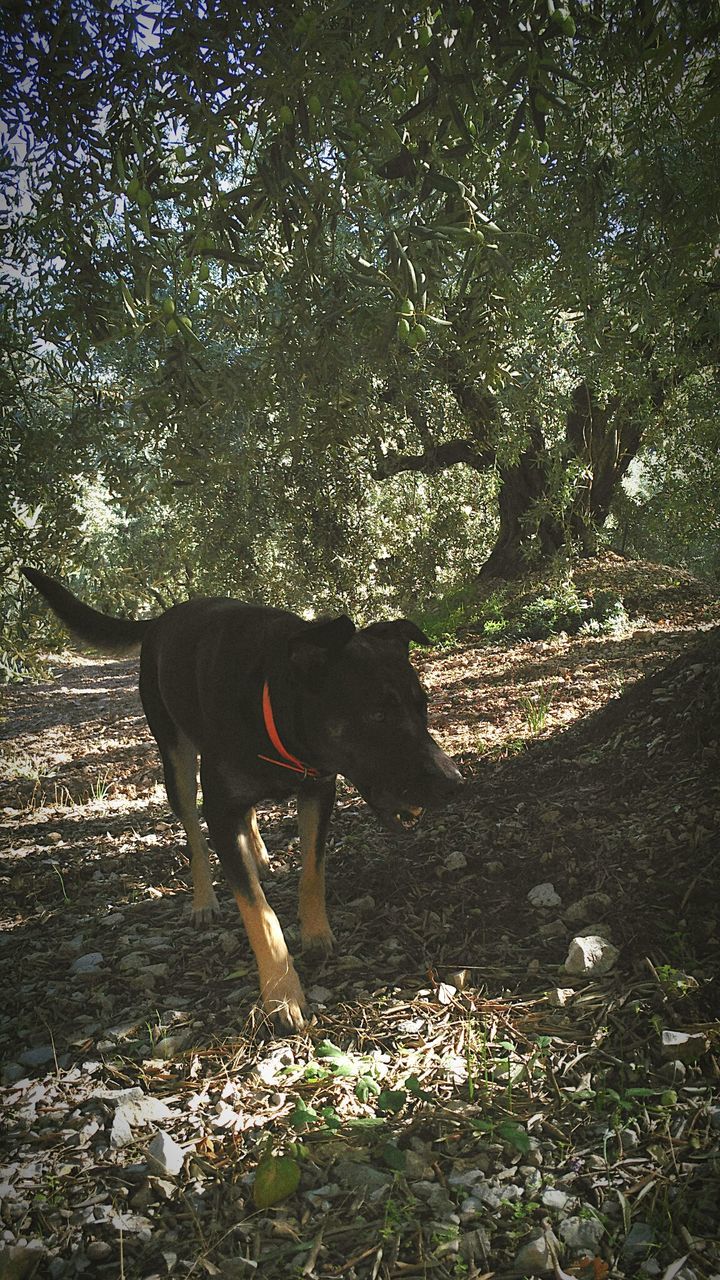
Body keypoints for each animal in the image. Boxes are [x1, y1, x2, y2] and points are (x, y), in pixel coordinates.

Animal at [22, 570, 461, 1029]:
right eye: (377, 715)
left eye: (422, 708)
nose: (455, 782)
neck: (272, 707)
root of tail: (161, 618)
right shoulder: (220, 809)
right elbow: (258, 912)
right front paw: (282, 993)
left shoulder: (318, 790)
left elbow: (312, 872)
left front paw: (315, 932)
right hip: (176, 760)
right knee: (193, 833)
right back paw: (204, 899)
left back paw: (259, 855)